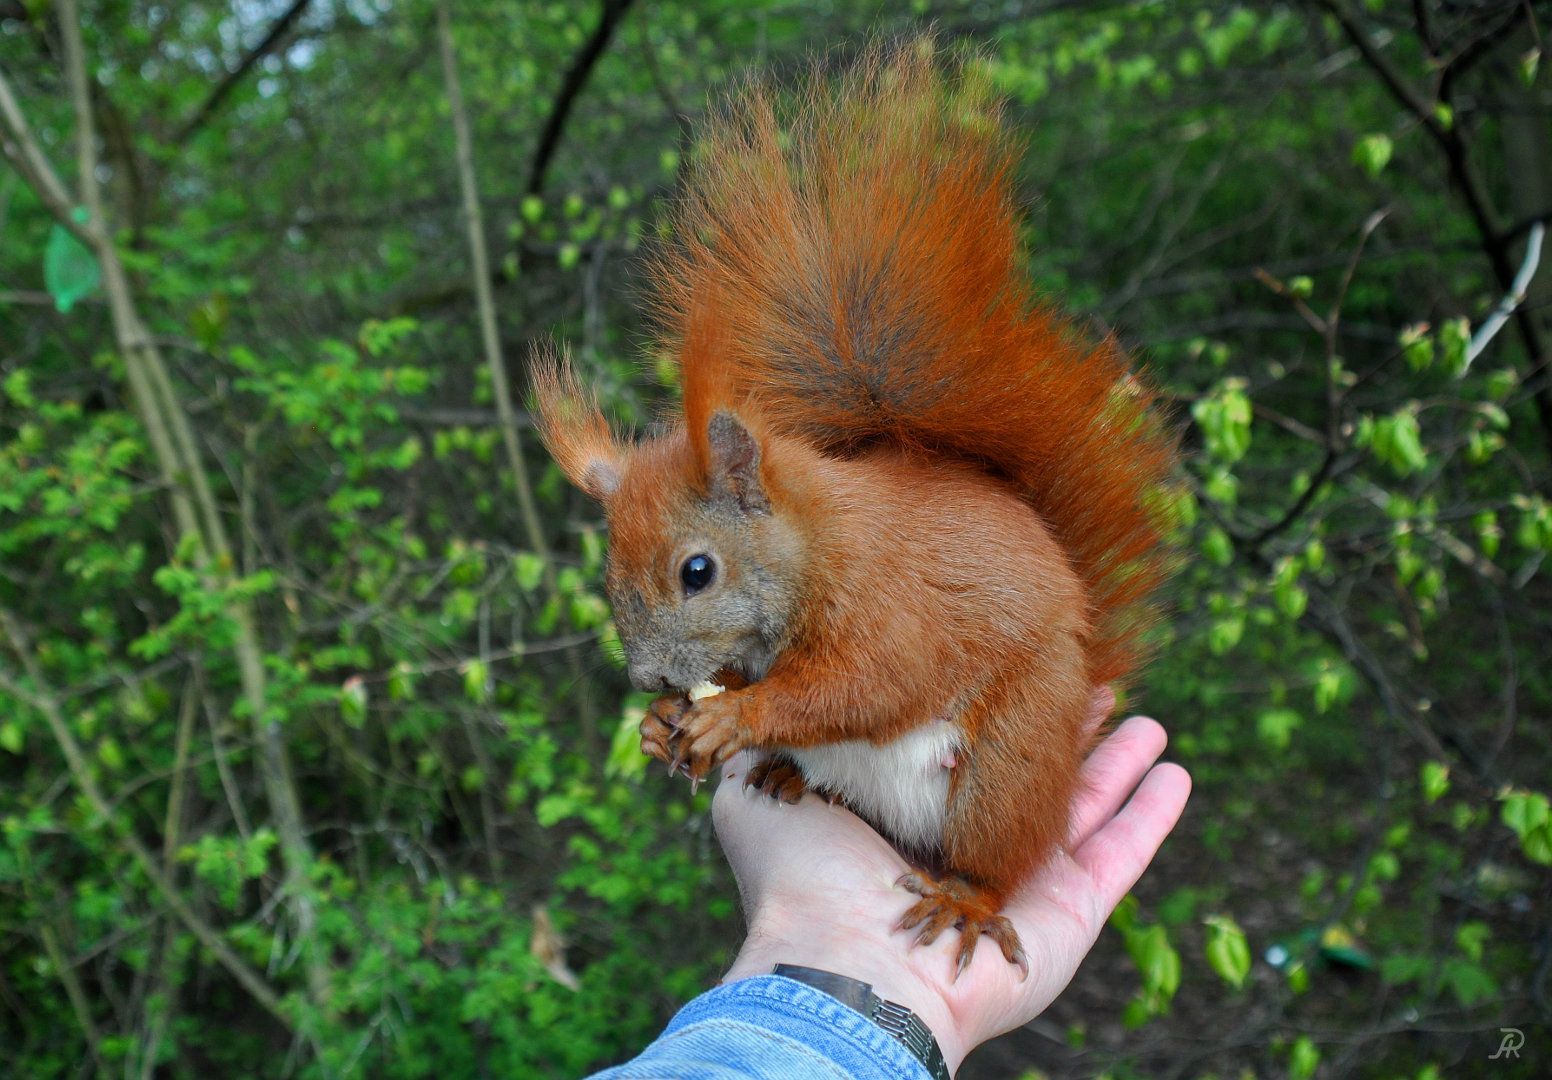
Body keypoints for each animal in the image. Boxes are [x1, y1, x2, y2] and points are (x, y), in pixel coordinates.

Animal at [533, 46, 1173, 980]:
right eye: (609, 573)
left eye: (698, 571)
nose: (648, 680)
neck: (810, 546)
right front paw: (661, 726)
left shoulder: (890, 604)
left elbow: (875, 681)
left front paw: (735, 715)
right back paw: (789, 778)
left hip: (1008, 766)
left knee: (995, 855)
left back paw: (963, 898)